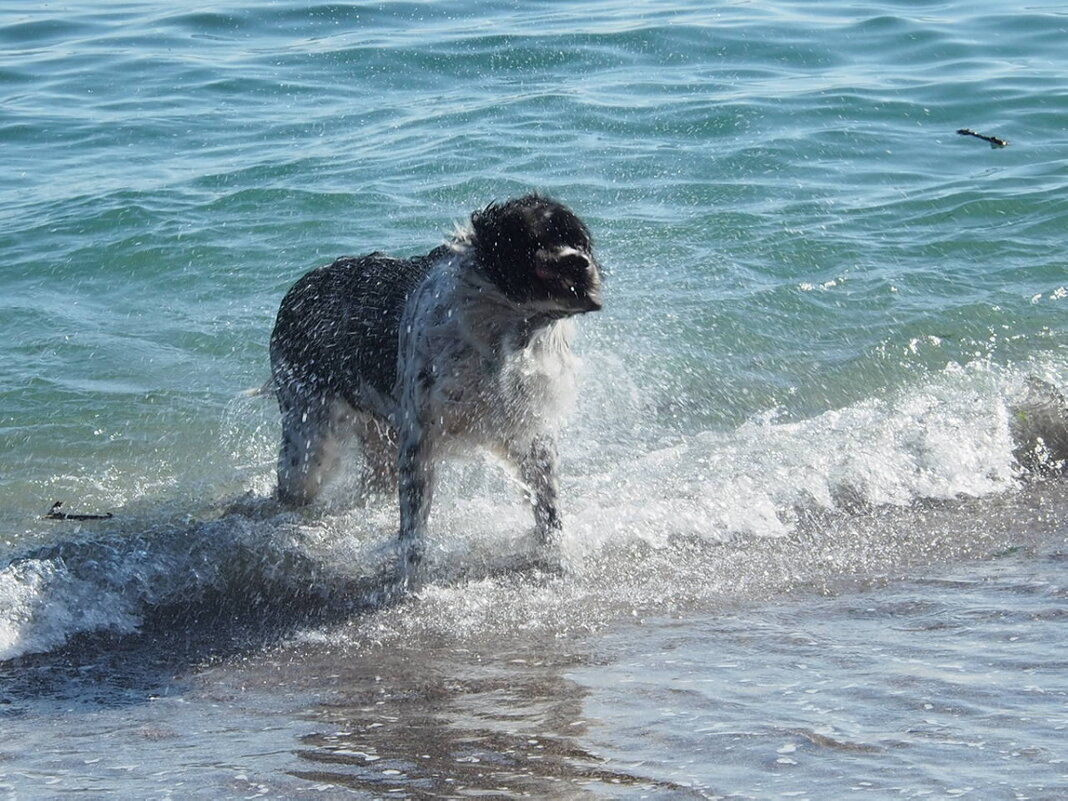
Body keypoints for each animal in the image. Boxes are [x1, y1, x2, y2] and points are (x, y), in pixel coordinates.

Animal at [267, 195, 602, 576]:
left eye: (579, 242)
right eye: (536, 239)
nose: (580, 262)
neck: (502, 329)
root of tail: (295, 289)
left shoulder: (529, 428)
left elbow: (548, 504)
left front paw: (556, 553)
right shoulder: (420, 439)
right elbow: (413, 526)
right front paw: (409, 575)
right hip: (306, 446)